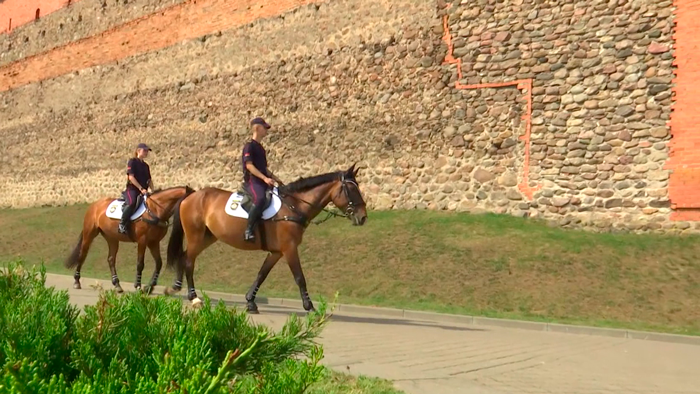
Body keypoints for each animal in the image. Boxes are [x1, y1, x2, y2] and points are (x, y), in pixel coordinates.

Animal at [65, 185, 194, 292]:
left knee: (111, 259)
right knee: (82, 255)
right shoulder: (142, 241)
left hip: (112, 238)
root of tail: (95, 205)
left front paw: (150, 286)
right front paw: (138, 285)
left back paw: (117, 284)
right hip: (89, 234)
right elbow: (140, 264)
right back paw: (77, 281)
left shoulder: (153, 242)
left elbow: (159, 263)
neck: (154, 210)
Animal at [165, 163, 370, 310]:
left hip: (207, 237)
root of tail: (191, 195)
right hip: (195, 235)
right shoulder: (289, 248)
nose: (362, 217)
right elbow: (299, 277)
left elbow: (262, 274)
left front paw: (250, 301)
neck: (294, 206)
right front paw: (309, 305)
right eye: (352, 190)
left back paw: (175, 287)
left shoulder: (276, 252)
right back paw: (193, 297)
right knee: (189, 261)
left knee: (184, 256)